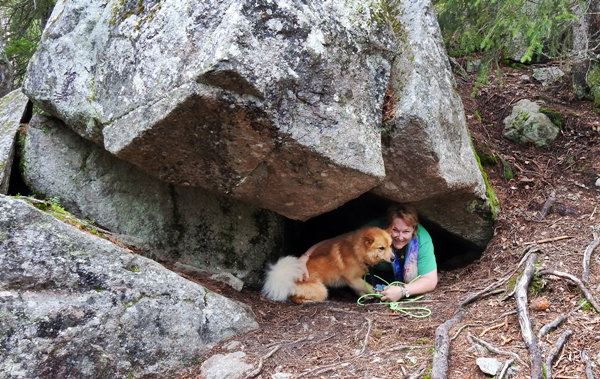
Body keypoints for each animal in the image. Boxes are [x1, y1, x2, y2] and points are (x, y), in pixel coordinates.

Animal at [262, 227, 394, 304]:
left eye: (390, 246)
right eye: (381, 248)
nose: (393, 258)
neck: (356, 251)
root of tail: (288, 277)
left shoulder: (355, 281)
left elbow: (361, 289)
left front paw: (364, 296)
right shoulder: (352, 279)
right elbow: (369, 286)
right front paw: (377, 294)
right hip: (321, 290)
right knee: (295, 298)